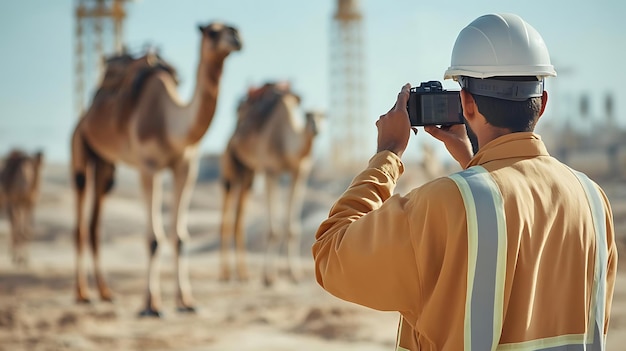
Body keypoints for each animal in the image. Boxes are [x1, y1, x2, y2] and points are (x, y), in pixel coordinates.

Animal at [70, 23, 241, 318]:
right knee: (80, 223)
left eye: (232, 27)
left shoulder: (185, 167)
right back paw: (82, 295)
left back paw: (105, 293)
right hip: (80, 147)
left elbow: (180, 236)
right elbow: (153, 238)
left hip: (104, 166)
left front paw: (186, 301)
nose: (236, 38)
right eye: (212, 31)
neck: (170, 122)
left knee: (93, 225)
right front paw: (151, 305)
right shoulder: (149, 167)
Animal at [219, 82, 324, 286]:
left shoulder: (299, 173)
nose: (316, 129)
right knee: (226, 215)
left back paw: (243, 274)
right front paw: (268, 277)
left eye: (324, 116)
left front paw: (295, 274)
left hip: (249, 174)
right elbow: (273, 230)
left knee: (239, 218)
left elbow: (292, 228)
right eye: (308, 116)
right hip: (231, 167)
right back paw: (226, 275)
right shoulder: (270, 171)